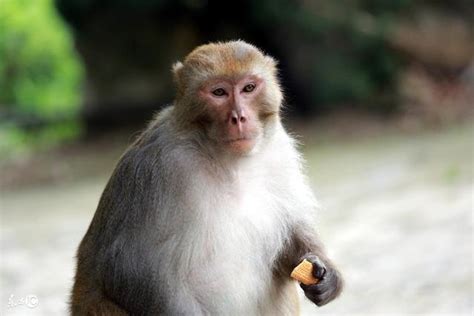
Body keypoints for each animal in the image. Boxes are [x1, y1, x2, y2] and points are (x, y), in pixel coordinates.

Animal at [70, 40, 342, 314]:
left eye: (248, 88)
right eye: (219, 92)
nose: (239, 117)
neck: (228, 162)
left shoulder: (278, 152)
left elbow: (290, 234)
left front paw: (327, 274)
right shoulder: (158, 168)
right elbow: (125, 266)